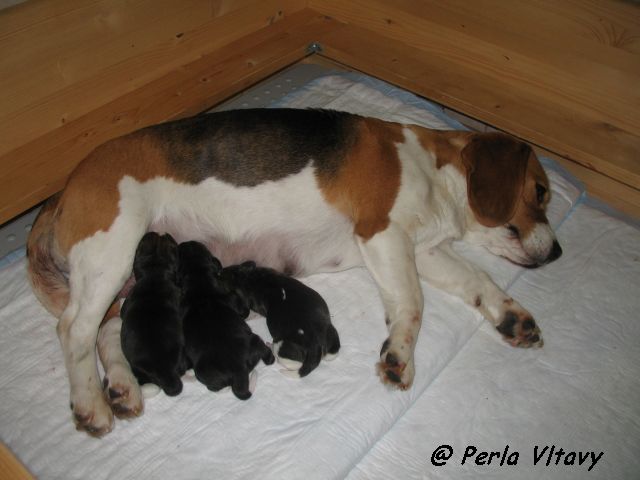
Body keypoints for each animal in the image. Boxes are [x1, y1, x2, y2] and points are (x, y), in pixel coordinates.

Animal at [178, 241, 275, 400]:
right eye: (203, 249)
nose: (188, 242)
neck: (200, 282)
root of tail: (239, 369)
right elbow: (243, 310)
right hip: (256, 341)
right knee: (267, 355)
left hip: (204, 372)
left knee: (214, 386)